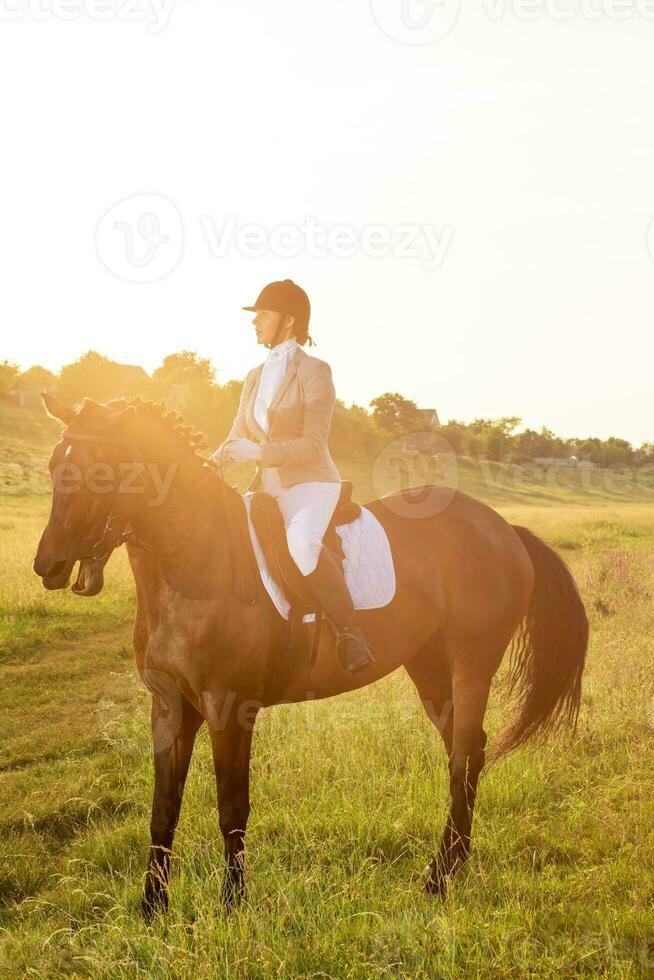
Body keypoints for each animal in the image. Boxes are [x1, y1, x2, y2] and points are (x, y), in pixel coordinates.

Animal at [33, 392, 592, 920]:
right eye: (56, 465)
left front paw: (232, 907)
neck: (195, 562)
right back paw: (451, 867)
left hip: (473, 663)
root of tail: (503, 528)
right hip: (429, 667)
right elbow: (163, 809)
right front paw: (152, 909)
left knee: (461, 756)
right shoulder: (169, 707)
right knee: (470, 749)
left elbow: (231, 809)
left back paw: (439, 877)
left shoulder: (229, 708)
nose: (49, 566)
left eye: (99, 471)